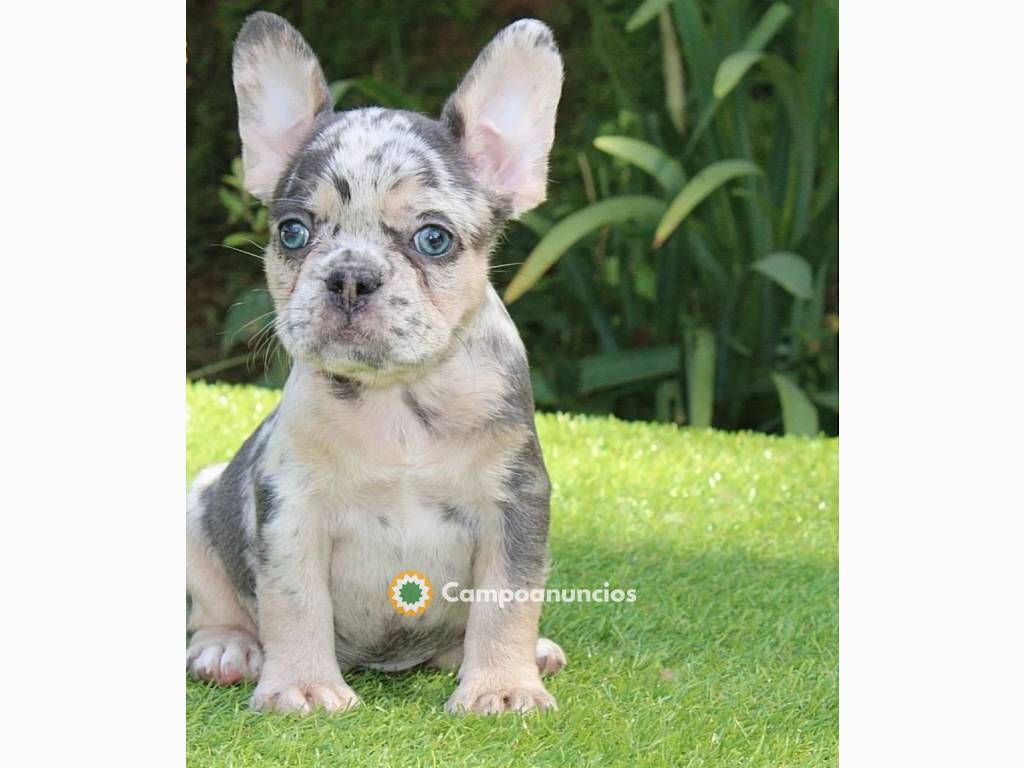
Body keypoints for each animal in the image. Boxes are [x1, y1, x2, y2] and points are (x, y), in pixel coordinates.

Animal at [186, 12, 569, 720]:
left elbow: (507, 599)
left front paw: (502, 686)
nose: (350, 277)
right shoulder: (291, 510)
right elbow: (294, 602)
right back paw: (230, 648)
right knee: (219, 604)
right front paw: (302, 684)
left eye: (434, 238)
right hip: (198, 505)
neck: (398, 400)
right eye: (292, 232)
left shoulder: (515, 503)